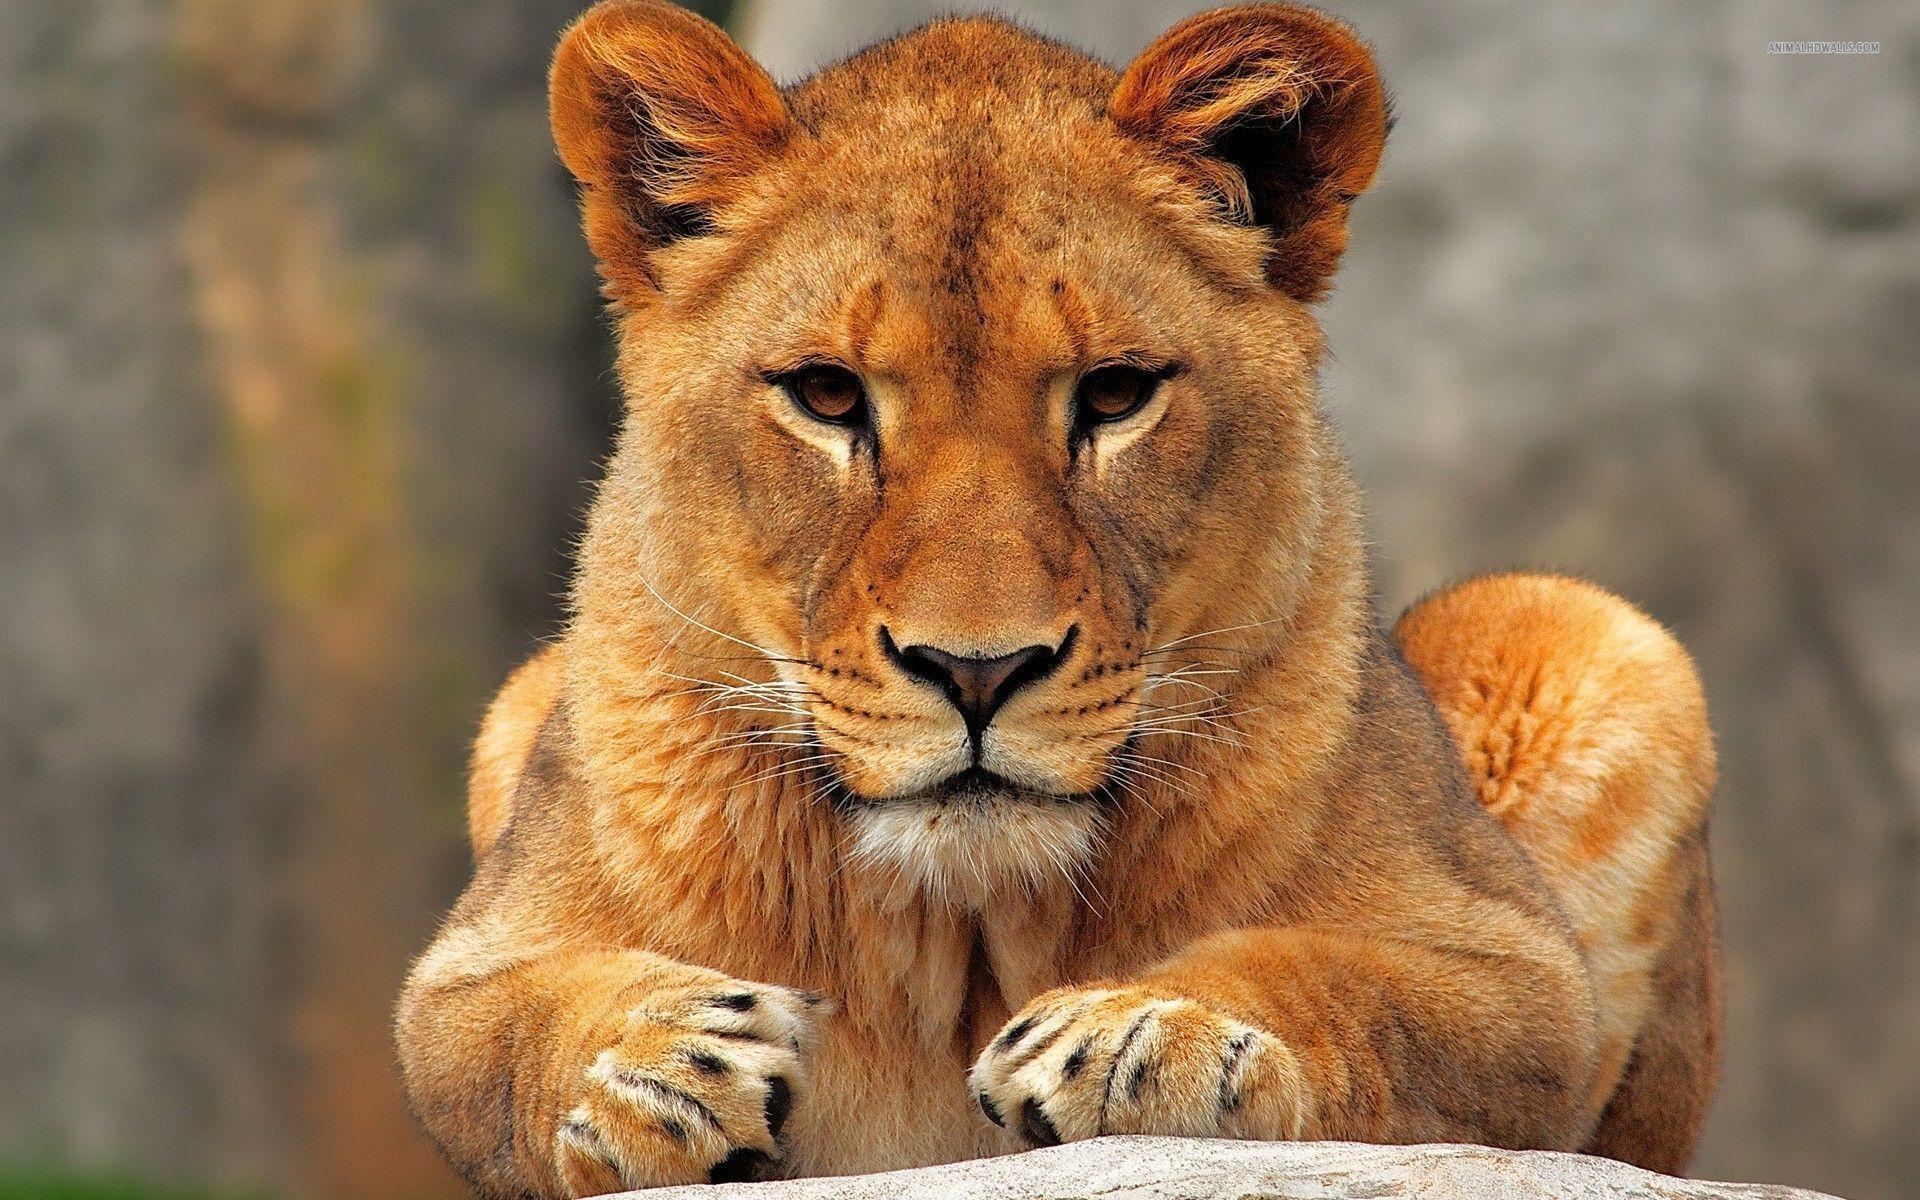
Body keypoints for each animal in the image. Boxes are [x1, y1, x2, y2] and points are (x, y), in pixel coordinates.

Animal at [395, 4, 1721, 1196]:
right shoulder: (472, 960)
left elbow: (1345, 982)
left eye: (1116, 393)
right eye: (826, 395)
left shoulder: (1513, 969)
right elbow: (497, 1031)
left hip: (1589, 635)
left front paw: (1153, 1030)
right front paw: (651, 1064)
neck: (968, 932)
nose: (977, 671)